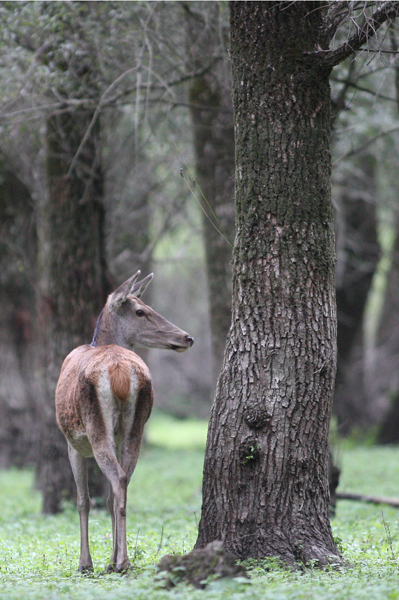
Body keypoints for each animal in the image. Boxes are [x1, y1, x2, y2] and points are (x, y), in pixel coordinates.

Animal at [55, 270, 195, 572]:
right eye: (141, 311)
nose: (187, 338)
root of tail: (118, 370)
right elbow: (106, 498)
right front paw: (106, 557)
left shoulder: (71, 442)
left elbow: (83, 500)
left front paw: (85, 563)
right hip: (136, 425)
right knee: (124, 481)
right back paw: (121, 560)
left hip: (95, 426)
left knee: (117, 478)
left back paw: (118, 561)